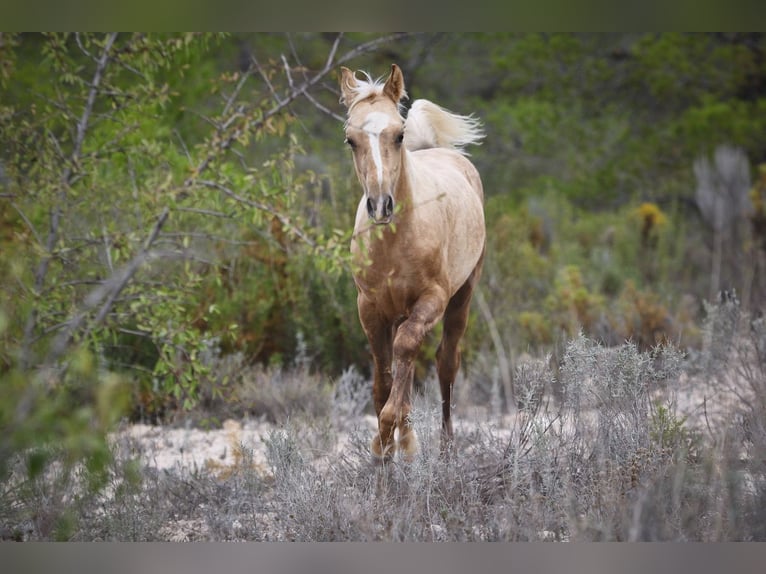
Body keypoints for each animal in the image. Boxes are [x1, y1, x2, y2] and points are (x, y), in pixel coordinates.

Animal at [340, 64, 486, 464]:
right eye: (350, 140)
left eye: (399, 134)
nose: (380, 206)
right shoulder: (370, 308)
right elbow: (383, 376)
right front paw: (387, 451)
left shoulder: (430, 301)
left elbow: (405, 351)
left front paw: (391, 438)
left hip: (462, 297)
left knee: (445, 362)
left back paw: (446, 450)